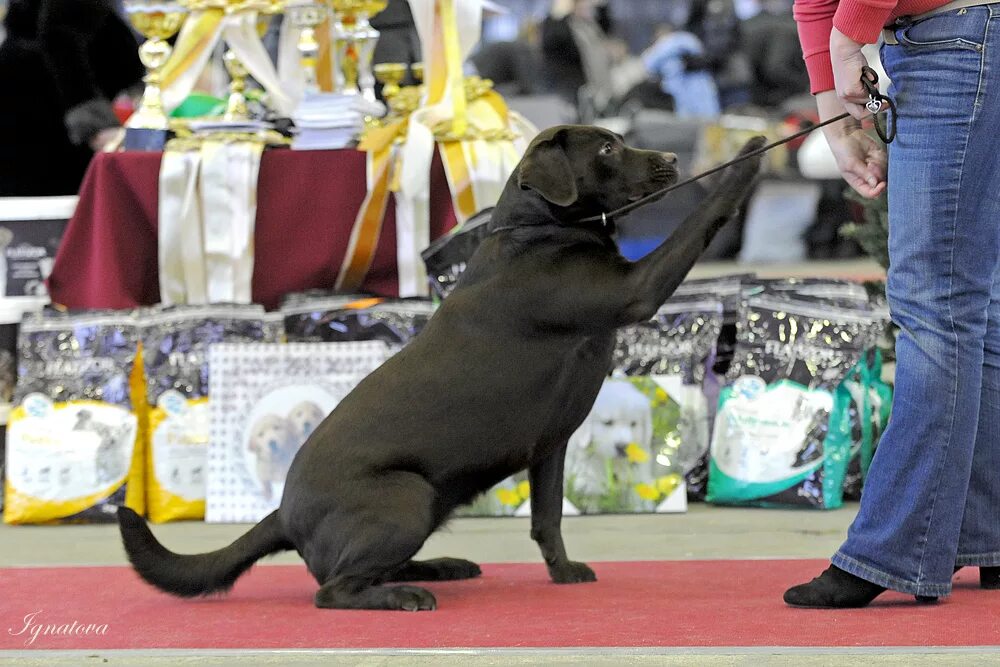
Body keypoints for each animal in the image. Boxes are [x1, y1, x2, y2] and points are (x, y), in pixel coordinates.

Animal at [119, 124, 764, 612]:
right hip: (408, 496)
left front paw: (563, 572)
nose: (673, 160)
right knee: (335, 589)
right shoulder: (637, 289)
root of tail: (282, 513)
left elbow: (548, 519)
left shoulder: (550, 446)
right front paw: (747, 159)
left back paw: (442, 567)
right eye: (606, 148)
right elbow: (695, 224)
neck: (540, 229)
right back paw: (404, 596)